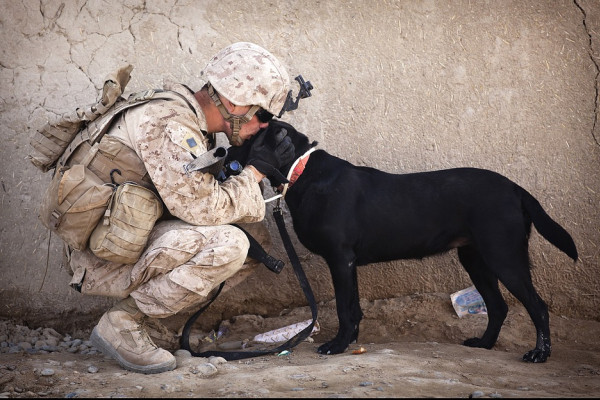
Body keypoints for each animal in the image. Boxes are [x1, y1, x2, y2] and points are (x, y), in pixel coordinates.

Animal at [226, 121, 576, 362]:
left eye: (247, 140)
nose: (222, 151)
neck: (303, 171)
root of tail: (516, 188)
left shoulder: (340, 259)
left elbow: (343, 308)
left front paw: (337, 345)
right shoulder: (348, 263)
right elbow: (354, 307)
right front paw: (351, 342)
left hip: (504, 256)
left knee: (537, 306)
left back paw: (539, 354)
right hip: (475, 258)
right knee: (499, 306)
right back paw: (485, 344)